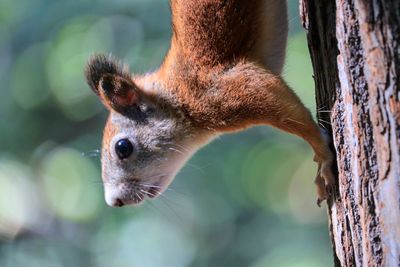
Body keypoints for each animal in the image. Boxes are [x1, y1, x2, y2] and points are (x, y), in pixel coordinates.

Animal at [83, 0, 334, 208]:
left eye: (122, 148)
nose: (114, 201)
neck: (179, 98)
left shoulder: (228, 90)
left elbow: (282, 105)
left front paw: (323, 156)